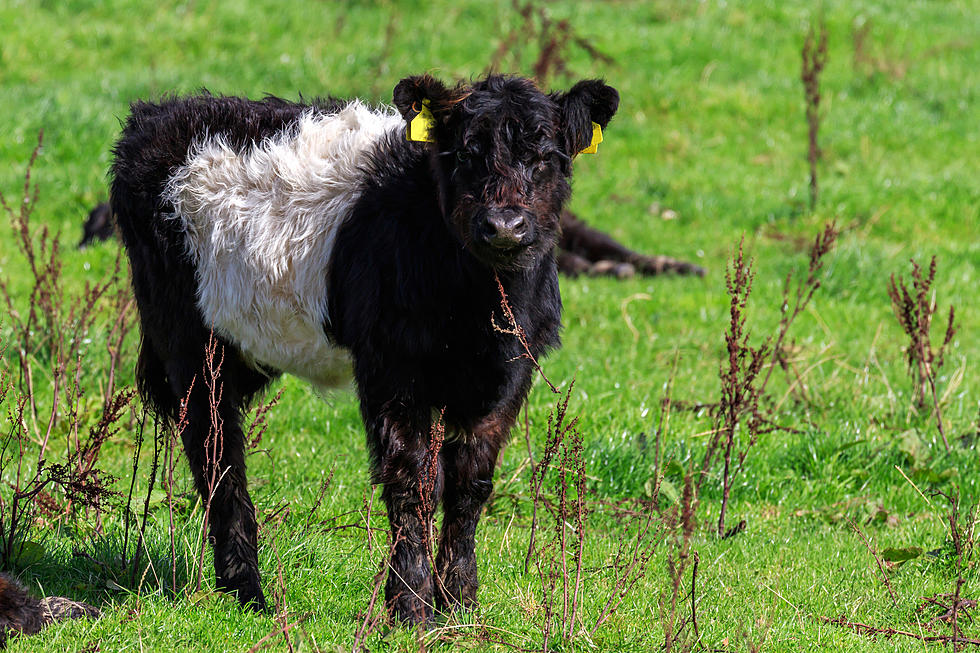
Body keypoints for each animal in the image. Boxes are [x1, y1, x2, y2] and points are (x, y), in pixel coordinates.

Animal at [111, 72, 620, 620]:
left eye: (545, 156)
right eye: (465, 153)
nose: (504, 225)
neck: (482, 309)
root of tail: (158, 114)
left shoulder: (507, 374)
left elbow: (470, 484)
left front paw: (460, 603)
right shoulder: (391, 364)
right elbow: (412, 479)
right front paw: (411, 607)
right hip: (187, 345)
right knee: (216, 453)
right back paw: (248, 592)